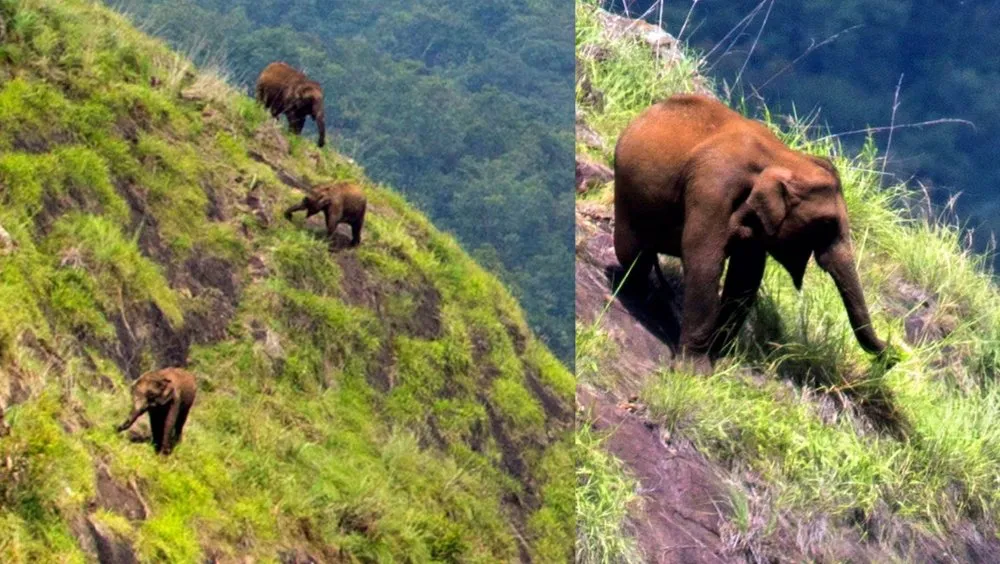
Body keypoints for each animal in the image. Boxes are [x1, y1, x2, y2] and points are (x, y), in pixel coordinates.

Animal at [616, 94, 892, 372]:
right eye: (826, 224)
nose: (891, 353)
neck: (782, 156)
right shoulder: (711, 188)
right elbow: (704, 261)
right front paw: (695, 371)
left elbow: (745, 277)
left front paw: (719, 355)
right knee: (631, 252)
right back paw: (637, 292)